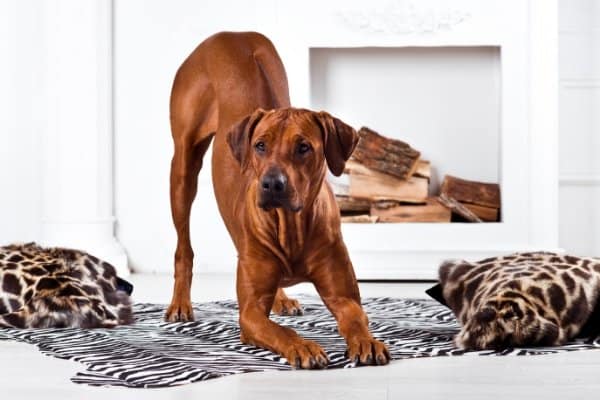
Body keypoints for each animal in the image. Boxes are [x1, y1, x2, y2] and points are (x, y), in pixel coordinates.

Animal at [165, 31, 390, 368]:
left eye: (303, 147)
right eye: (260, 146)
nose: (272, 184)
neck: (290, 225)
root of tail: (228, 34)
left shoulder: (344, 295)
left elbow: (355, 317)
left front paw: (367, 341)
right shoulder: (250, 313)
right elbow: (277, 330)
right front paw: (303, 347)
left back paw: (282, 299)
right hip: (182, 169)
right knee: (183, 247)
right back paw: (180, 303)